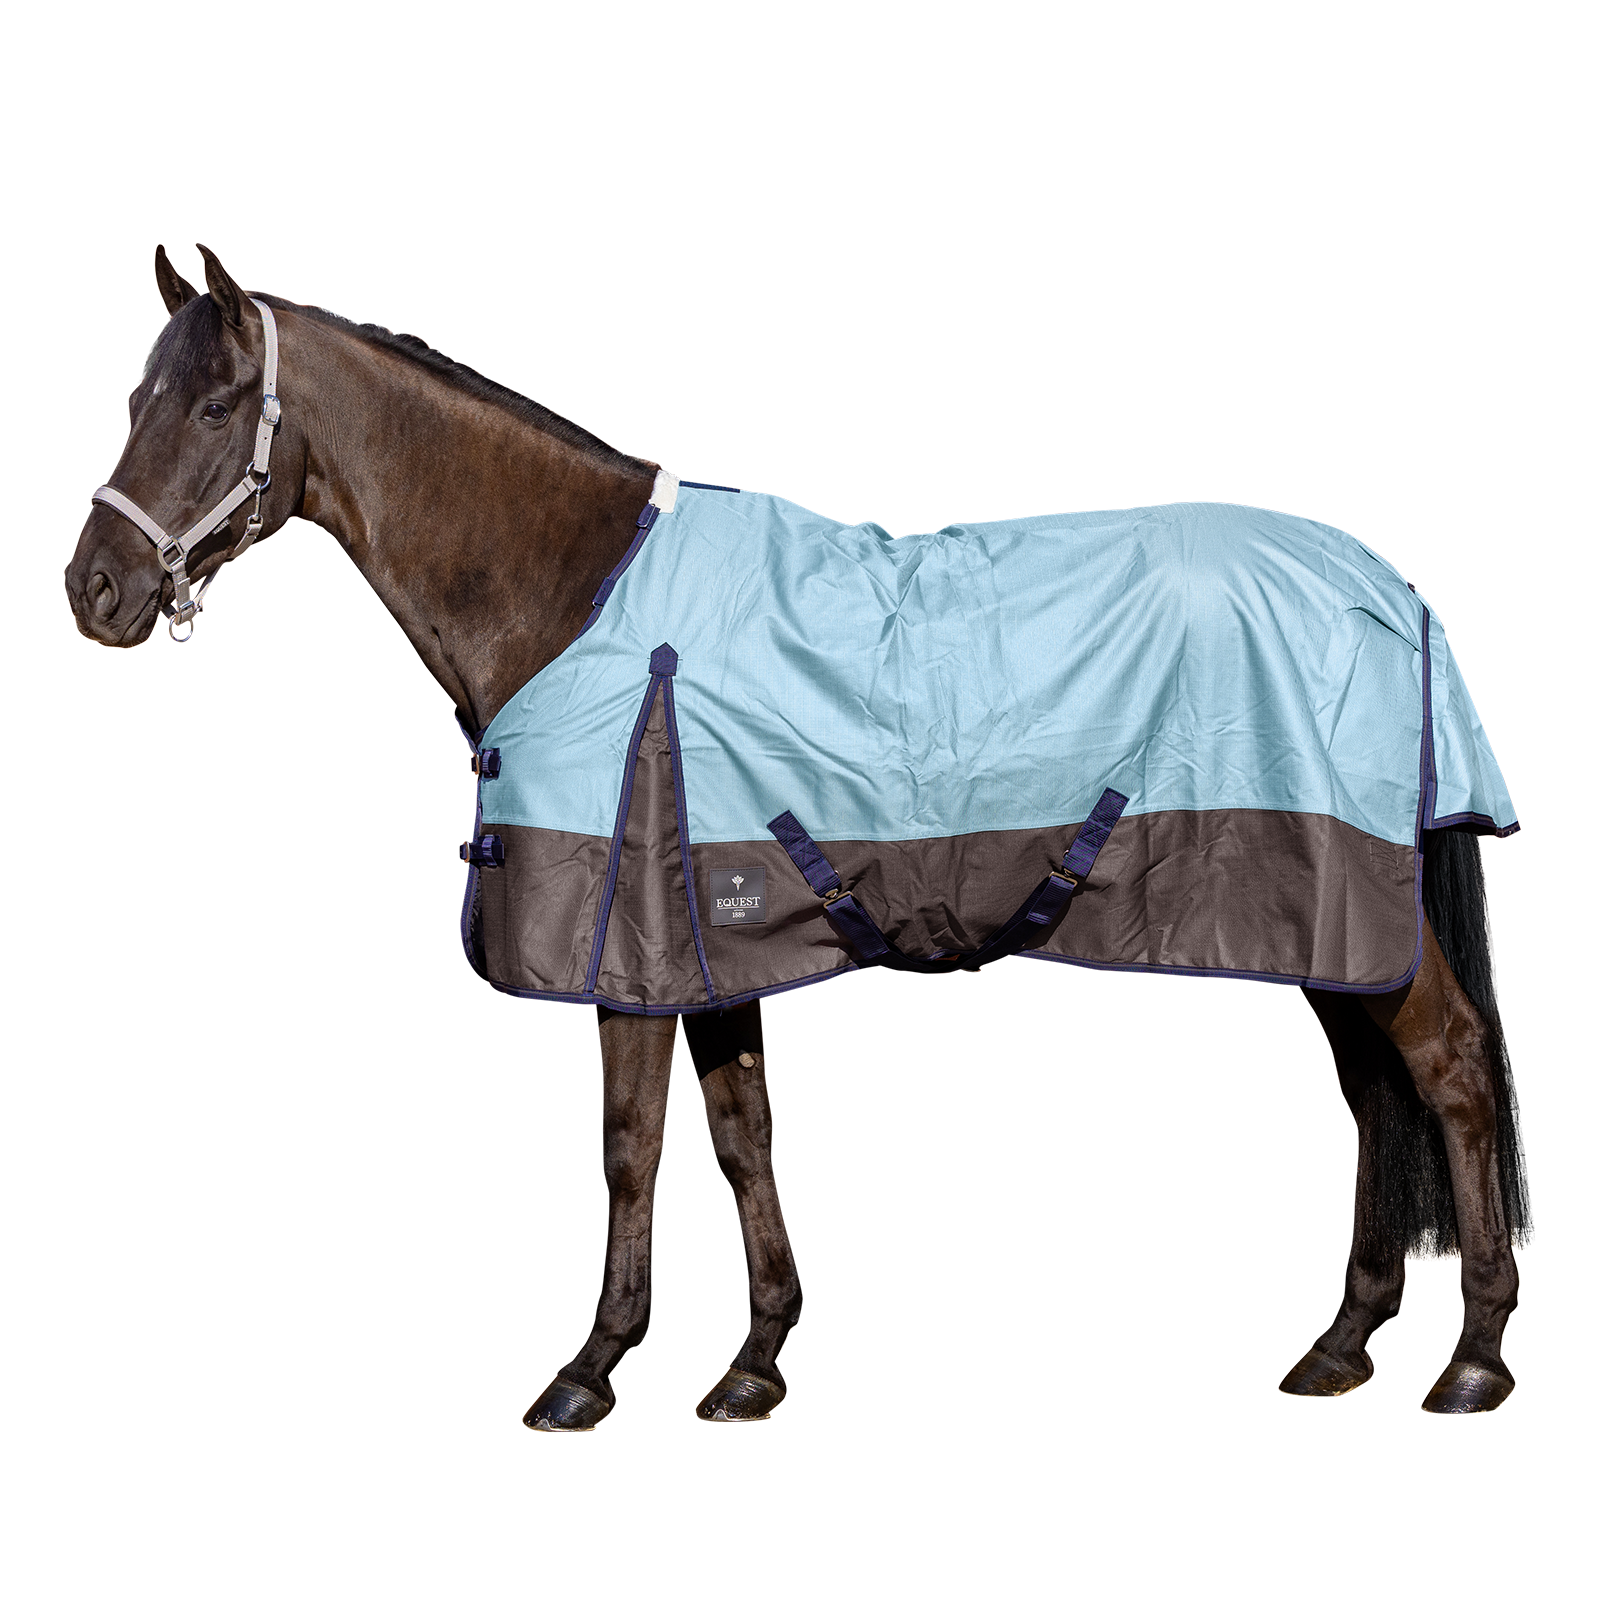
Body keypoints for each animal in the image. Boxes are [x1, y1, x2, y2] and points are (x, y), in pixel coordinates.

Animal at [65, 244, 1528, 1429]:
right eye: (131, 402)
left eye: (211, 406)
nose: (96, 590)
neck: (579, 597)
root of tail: (1385, 585)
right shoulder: (707, 934)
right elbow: (740, 1126)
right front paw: (753, 1362)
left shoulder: (634, 940)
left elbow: (632, 1143)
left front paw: (584, 1372)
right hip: (1320, 912)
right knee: (1375, 1088)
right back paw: (1337, 1347)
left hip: (1345, 896)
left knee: (1449, 1067)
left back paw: (1471, 1362)